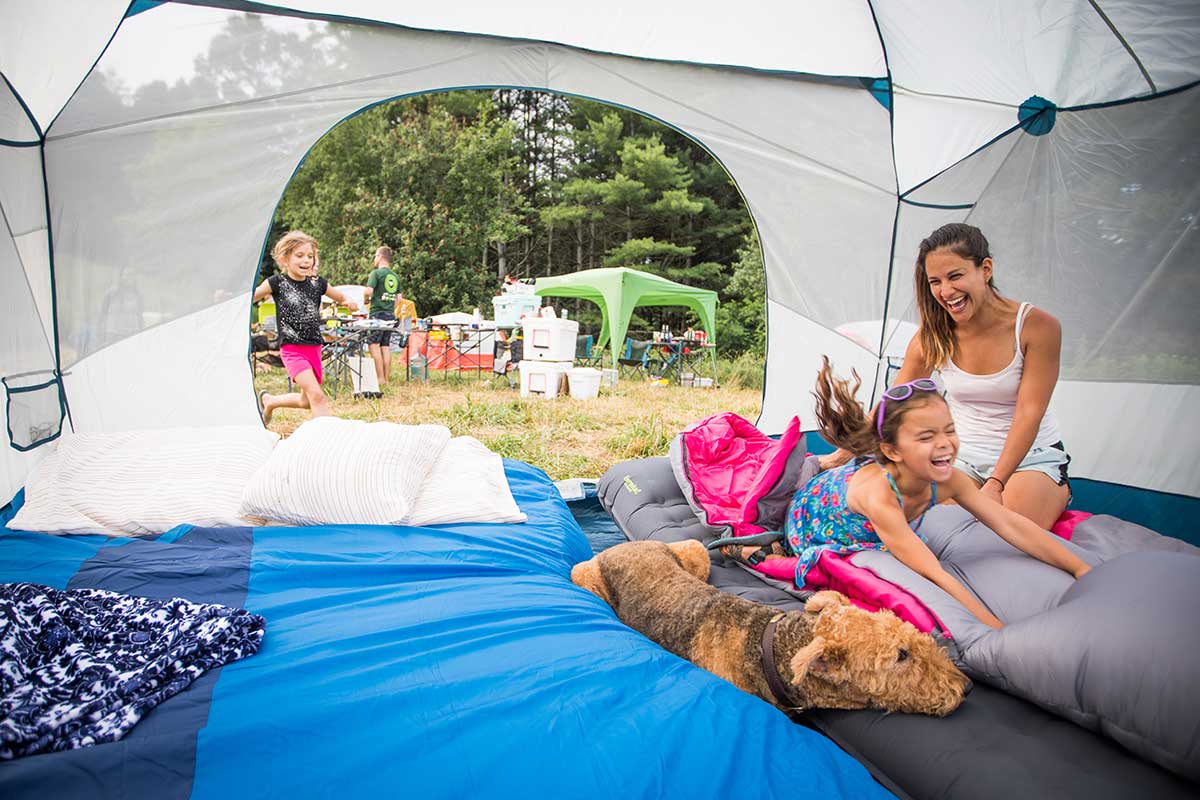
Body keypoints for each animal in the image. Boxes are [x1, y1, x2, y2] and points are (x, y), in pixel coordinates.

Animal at [568, 542, 964, 714]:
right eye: (901, 655)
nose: (964, 686)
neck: (767, 646)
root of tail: (617, 546)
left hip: (695, 553)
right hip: (583, 576)